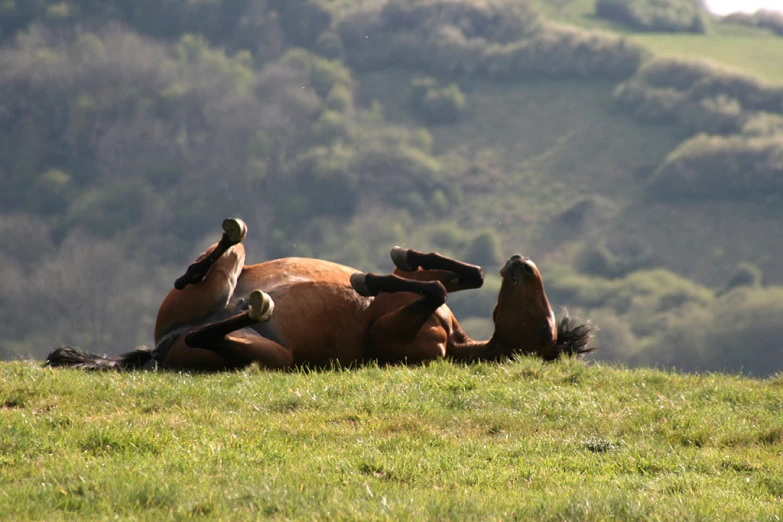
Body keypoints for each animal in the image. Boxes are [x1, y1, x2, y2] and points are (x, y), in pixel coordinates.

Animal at [47, 216, 596, 370]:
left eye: (544, 329)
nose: (522, 263)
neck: (457, 345)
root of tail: (160, 349)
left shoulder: (402, 344)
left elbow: (435, 288)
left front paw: (366, 280)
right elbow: (461, 277)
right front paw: (402, 256)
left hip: (274, 356)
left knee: (211, 334)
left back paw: (255, 307)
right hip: (219, 281)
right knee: (217, 260)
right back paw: (225, 244)